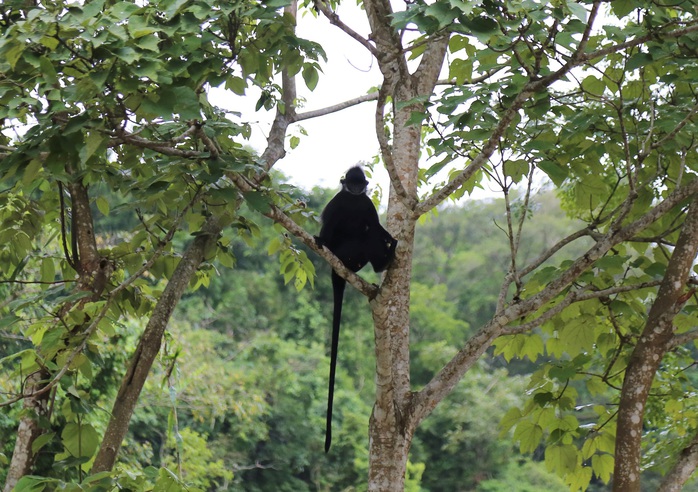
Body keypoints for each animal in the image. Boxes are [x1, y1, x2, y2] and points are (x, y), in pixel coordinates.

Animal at [312, 167, 394, 452]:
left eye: (361, 183)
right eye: (352, 182)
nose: (357, 189)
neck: (353, 201)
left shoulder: (366, 203)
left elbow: (377, 225)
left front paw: (390, 238)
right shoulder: (338, 202)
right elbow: (328, 227)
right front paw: (320, 239)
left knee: (371, 232)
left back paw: (384, 261)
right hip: (347, 253)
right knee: (364, 236)